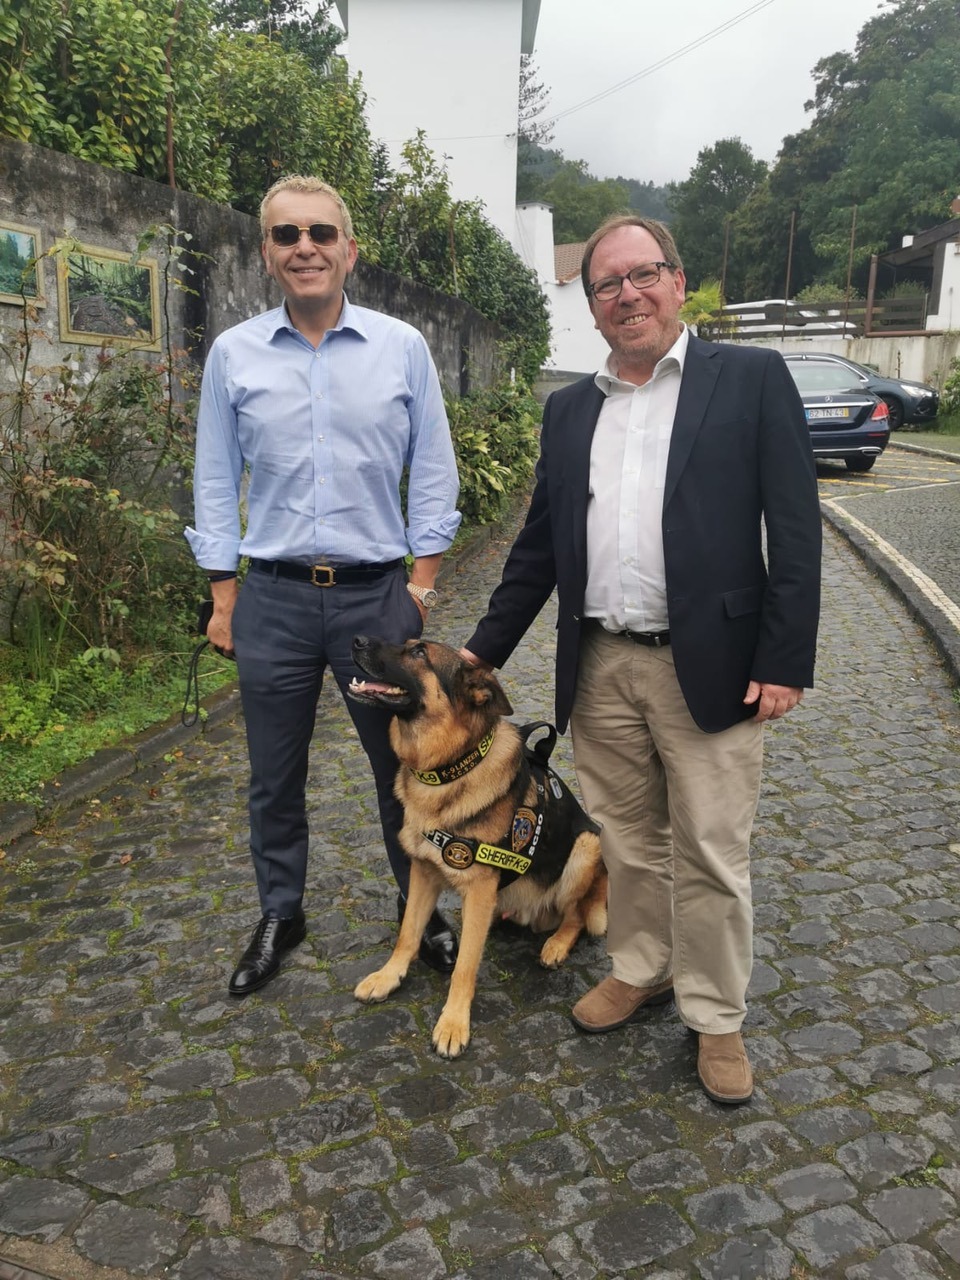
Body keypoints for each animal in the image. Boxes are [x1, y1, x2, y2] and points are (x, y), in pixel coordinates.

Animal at [348, 632, 609, 1059]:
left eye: (419, 652)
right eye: (408, 643)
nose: (356, 640)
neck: (447, 769)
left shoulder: (479, 889)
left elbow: (465, 965)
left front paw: (453, 1024)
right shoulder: (423, 872)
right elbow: (408, 933)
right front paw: (389, 976)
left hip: (588, 846)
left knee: (576, 916)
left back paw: (556, 944)